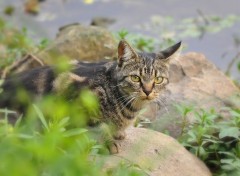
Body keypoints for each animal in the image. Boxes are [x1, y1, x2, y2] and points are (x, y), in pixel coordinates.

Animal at [0, 40, 180, 153]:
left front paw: (118, 132)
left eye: (158, 79)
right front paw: (108, 142)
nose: (148, 91)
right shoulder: (70, 92)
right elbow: (98, 126)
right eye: (135, 78)